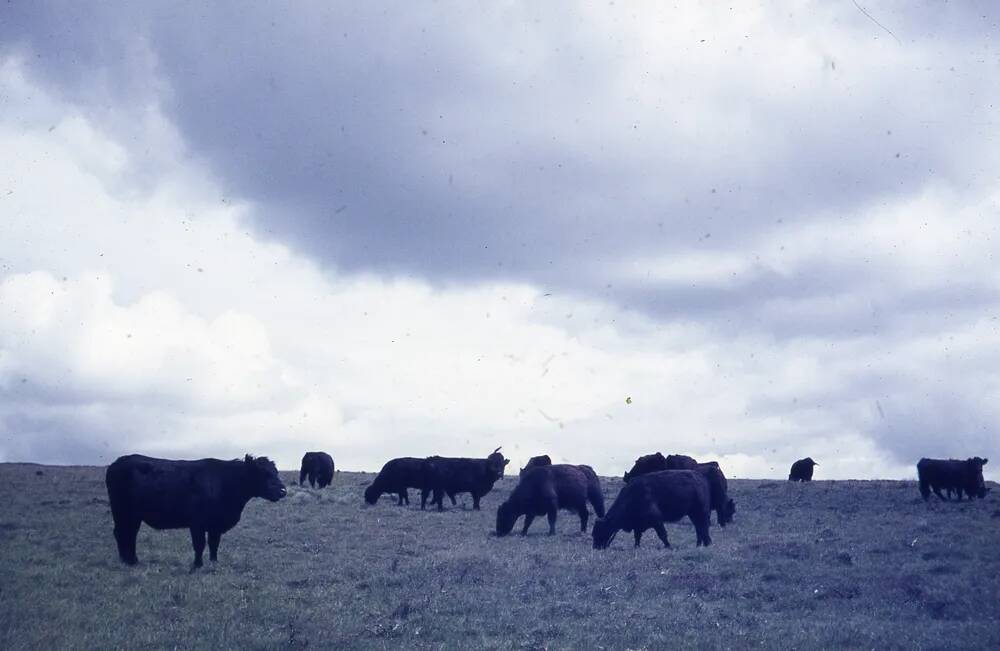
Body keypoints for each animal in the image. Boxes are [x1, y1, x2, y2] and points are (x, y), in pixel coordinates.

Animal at [106, 454, 286, 572]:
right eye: (264, 473)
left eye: (276, 472)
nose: (283, 491)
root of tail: (117, 462)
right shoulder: (197, 523)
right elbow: (200, 544)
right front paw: (197, 565)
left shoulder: (215, 525)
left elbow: (214, 544)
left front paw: (214, 562)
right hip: (123, 512)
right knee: (121, 533)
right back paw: (126, 561)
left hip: (132, 516)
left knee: (129, 534)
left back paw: (132, 560)